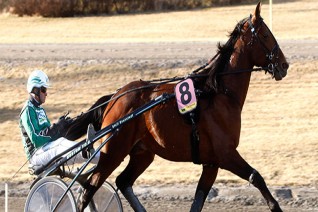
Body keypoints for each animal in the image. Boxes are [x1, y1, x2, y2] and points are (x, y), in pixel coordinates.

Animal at [66, 2, 288, 211]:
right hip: (113, 152)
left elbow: (198, 201)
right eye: (266, 34)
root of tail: (114, 98)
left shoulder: (211, 163)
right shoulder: (226, 154)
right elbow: (256, 177)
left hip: (142, 152)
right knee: (88, 190)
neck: (219, 93)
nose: (284, 65)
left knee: (123, 181)